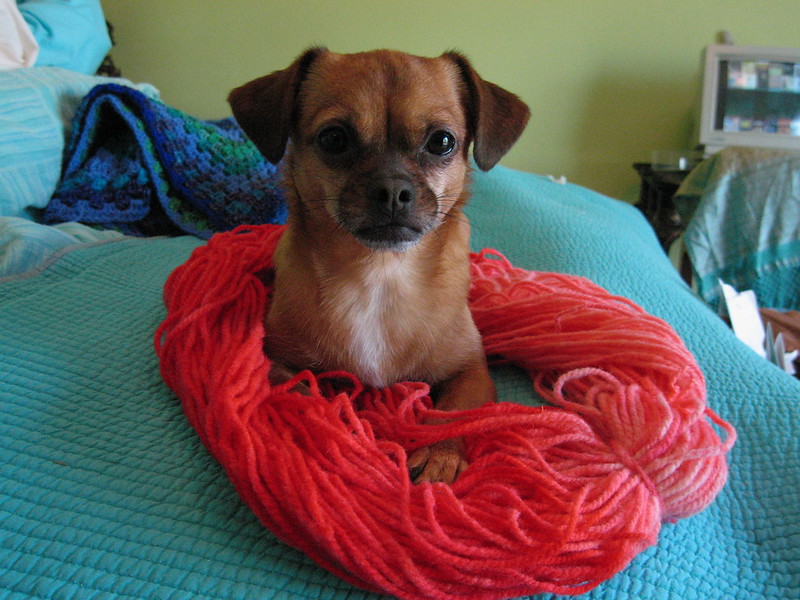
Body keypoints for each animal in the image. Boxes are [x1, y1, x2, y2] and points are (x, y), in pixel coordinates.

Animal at [228, 49, 528, 486]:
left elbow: (453, 412)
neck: (380, 273)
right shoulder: (277, 359)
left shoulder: (470, 370)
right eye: (334, 139)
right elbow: (300, 390)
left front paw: (440, 454)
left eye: (442, 142)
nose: (392, 190)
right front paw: (336, 421)